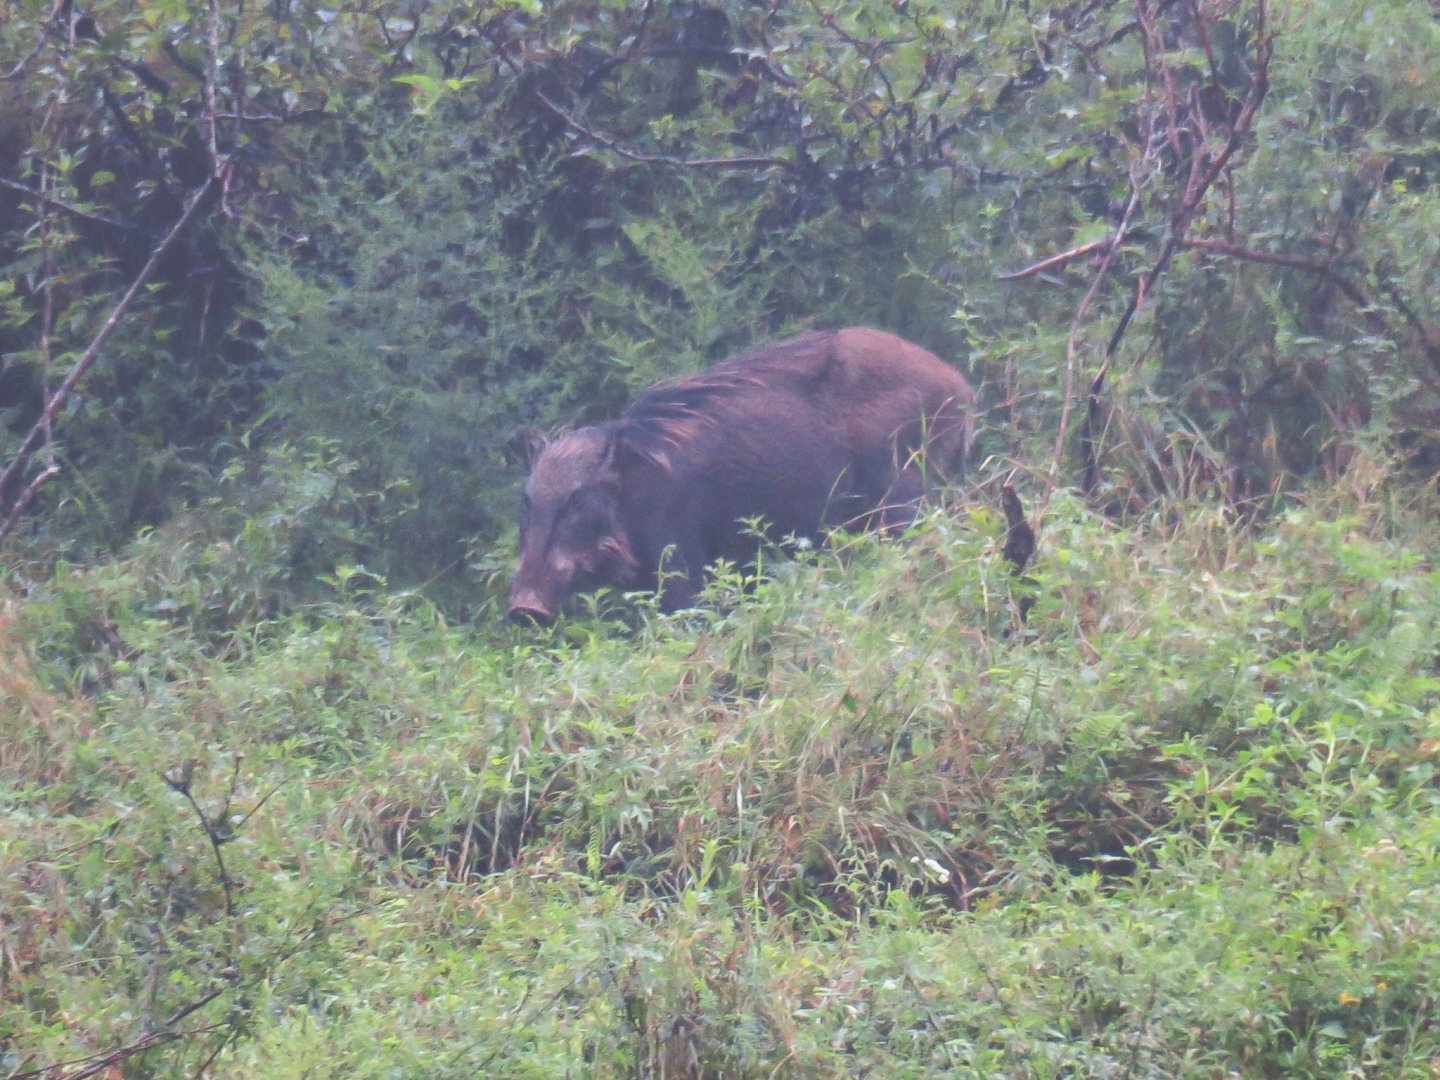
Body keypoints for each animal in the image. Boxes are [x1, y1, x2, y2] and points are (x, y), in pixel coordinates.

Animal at [507, 327, 975, 625]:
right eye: (527, 499)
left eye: (577, 497)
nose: (524, 609)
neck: (633, 487)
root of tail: (962, 388)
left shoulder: (678, 555)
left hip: (903, 493)